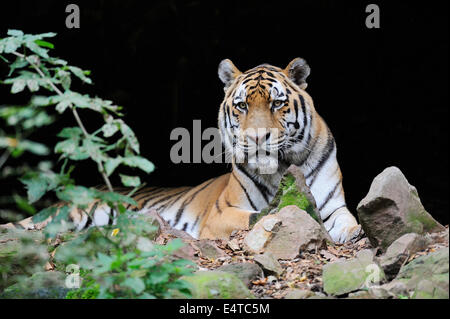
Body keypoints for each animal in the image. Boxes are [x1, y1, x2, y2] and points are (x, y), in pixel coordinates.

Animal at [3, 58, 360, 242]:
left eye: (277, 103)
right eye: (242, 106)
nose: (258, 138)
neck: (281, 169)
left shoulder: (334, 205)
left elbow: (345, 219)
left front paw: (353, 233)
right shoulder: (222, 213)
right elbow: (260, 216)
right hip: (71, 214)